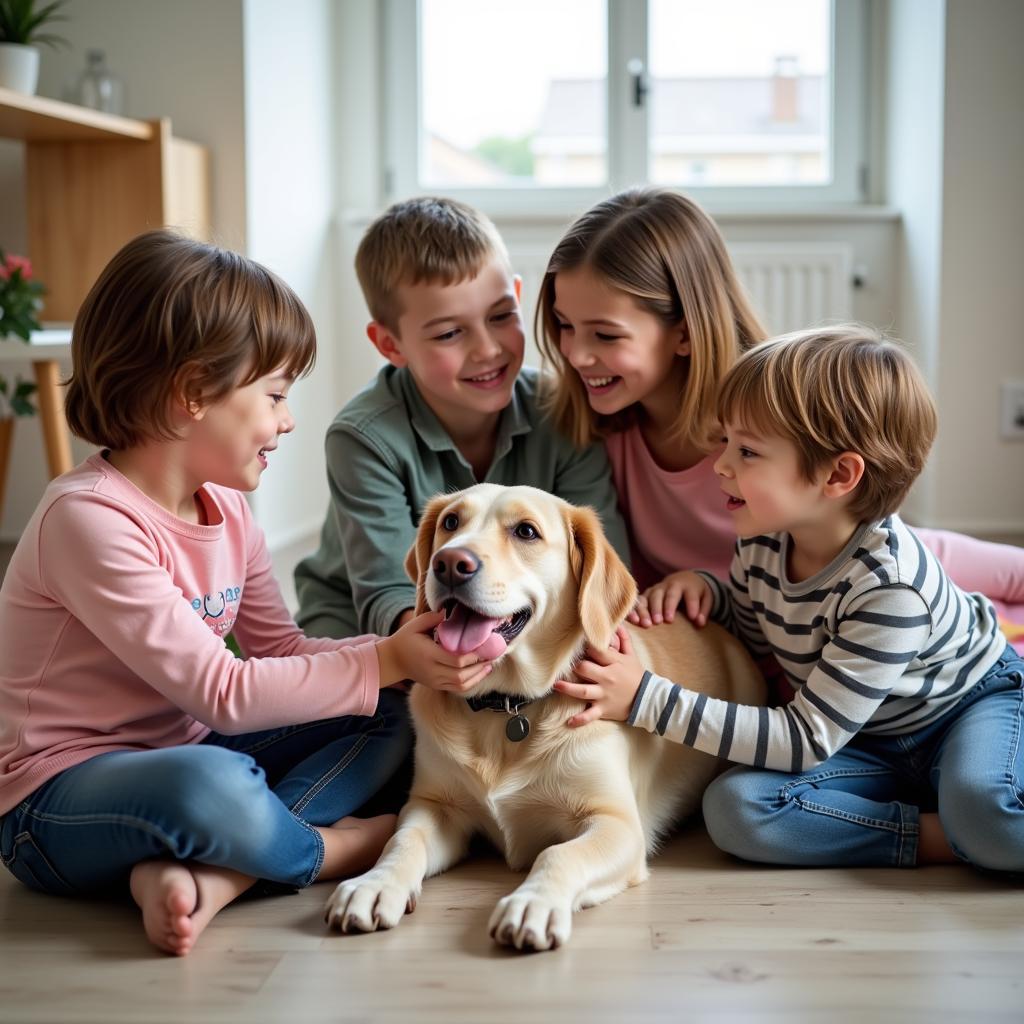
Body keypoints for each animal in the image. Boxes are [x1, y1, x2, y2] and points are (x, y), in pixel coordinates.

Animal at [323, 483, 765, 946]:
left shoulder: (617, 823)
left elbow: (560, 854)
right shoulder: (433, 805)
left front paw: (532, 902)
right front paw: (373, 884)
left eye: (526, 531)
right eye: (450, 522)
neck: (507, 707)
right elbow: (403, 841)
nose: (449, 564)